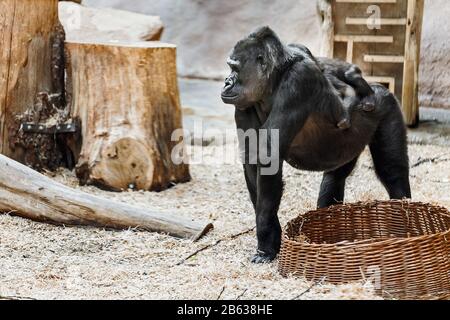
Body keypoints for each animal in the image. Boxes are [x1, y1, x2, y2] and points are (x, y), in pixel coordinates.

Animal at [221, 26, 412, 262]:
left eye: (234, 68)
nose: (226, 82)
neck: (274, 81)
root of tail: (379, 88)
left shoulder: (299, 80)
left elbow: (267, 157)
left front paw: (265, 241)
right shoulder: (244, 103)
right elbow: (252, 160)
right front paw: (272, 237)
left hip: (386, 104)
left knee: (392, 171)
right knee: (335, 177)